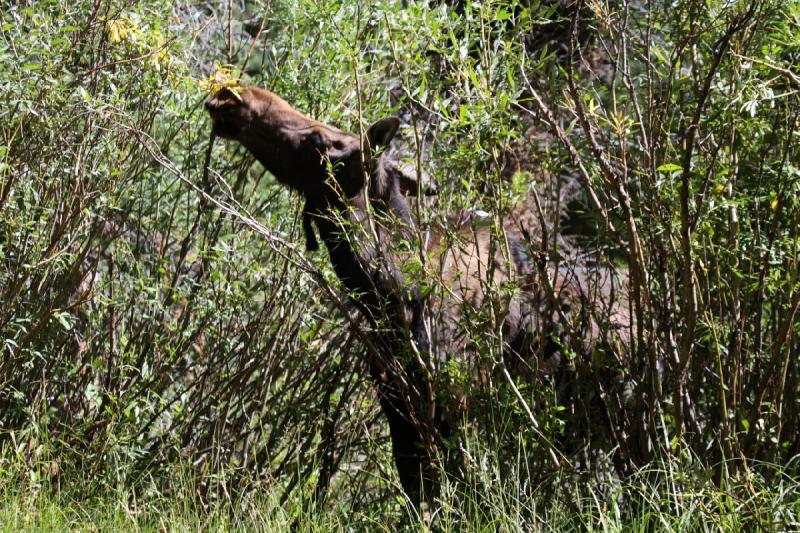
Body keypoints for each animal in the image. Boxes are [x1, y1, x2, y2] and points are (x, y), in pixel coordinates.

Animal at [203, 84, 628, 508]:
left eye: (319, 141)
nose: (231, 94)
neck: (390, 295)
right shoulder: (398, 406)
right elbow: (417, 492)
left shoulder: (459, 401)